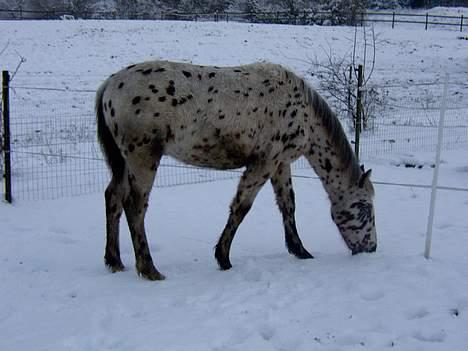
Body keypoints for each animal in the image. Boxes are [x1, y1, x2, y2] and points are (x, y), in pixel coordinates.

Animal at [95, 59, 376, 280]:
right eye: (364, 209)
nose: (371, 249)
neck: (302, 112)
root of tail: (109, 84)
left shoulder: (280, 164)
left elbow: (288, 204)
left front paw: (300, 251)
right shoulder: (264, 162)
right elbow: (241, 207)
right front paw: (223, 257)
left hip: (122, 162)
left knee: (113, 198)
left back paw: (115, 261)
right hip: (143, 158)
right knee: (135, 206)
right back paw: (149, 269)